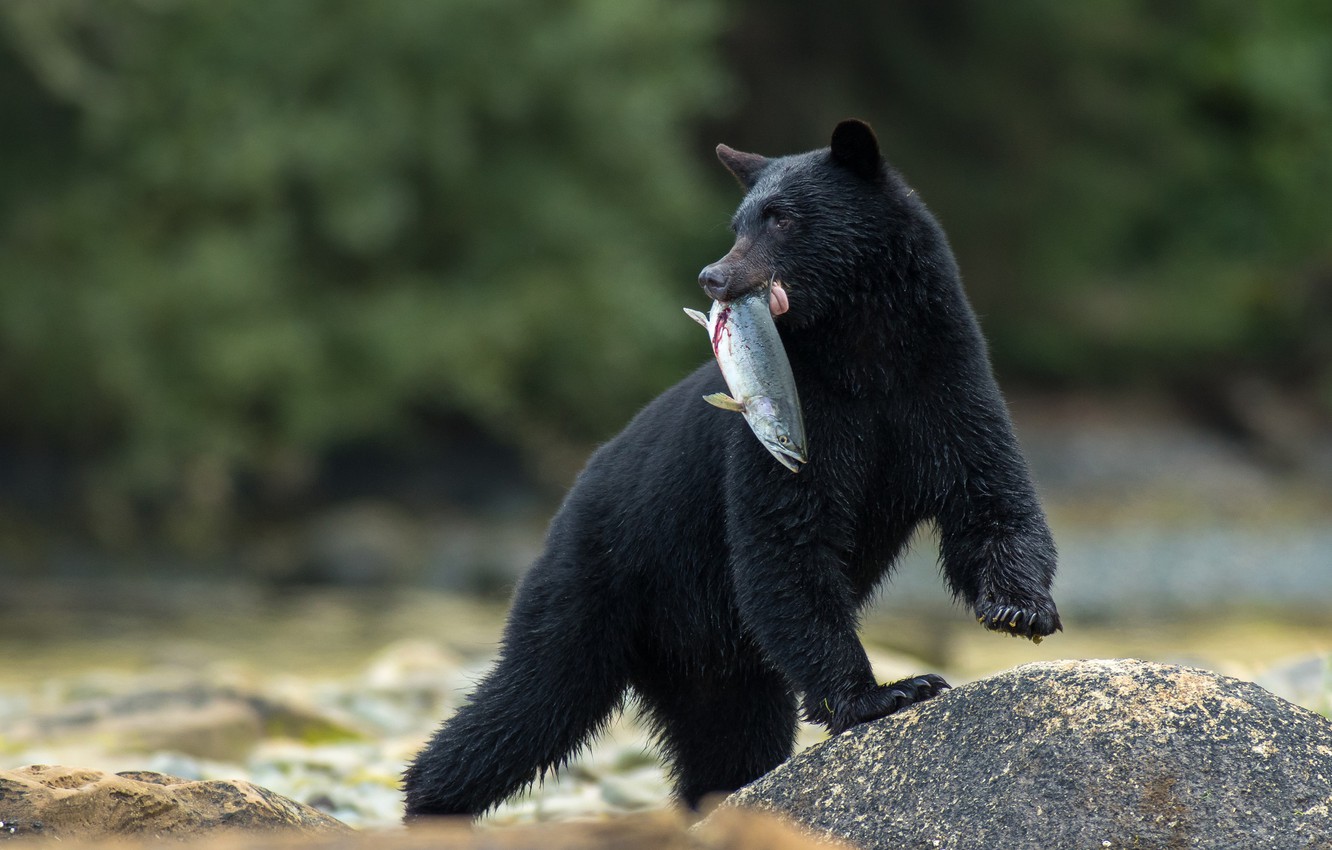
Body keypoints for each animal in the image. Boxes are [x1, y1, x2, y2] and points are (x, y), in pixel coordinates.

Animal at [402, 119, 1060, 819]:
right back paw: (430, 802)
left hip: (718, 663)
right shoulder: (791, 424)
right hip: (595, 582)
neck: (865, 354)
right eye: (738, 222)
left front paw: (1020, 609)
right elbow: (786, 540)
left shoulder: (943, 384)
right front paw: (885, 693)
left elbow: (989, 496)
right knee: (534, 696)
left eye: (782, 218)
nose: (713, 276)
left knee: (730, 743)